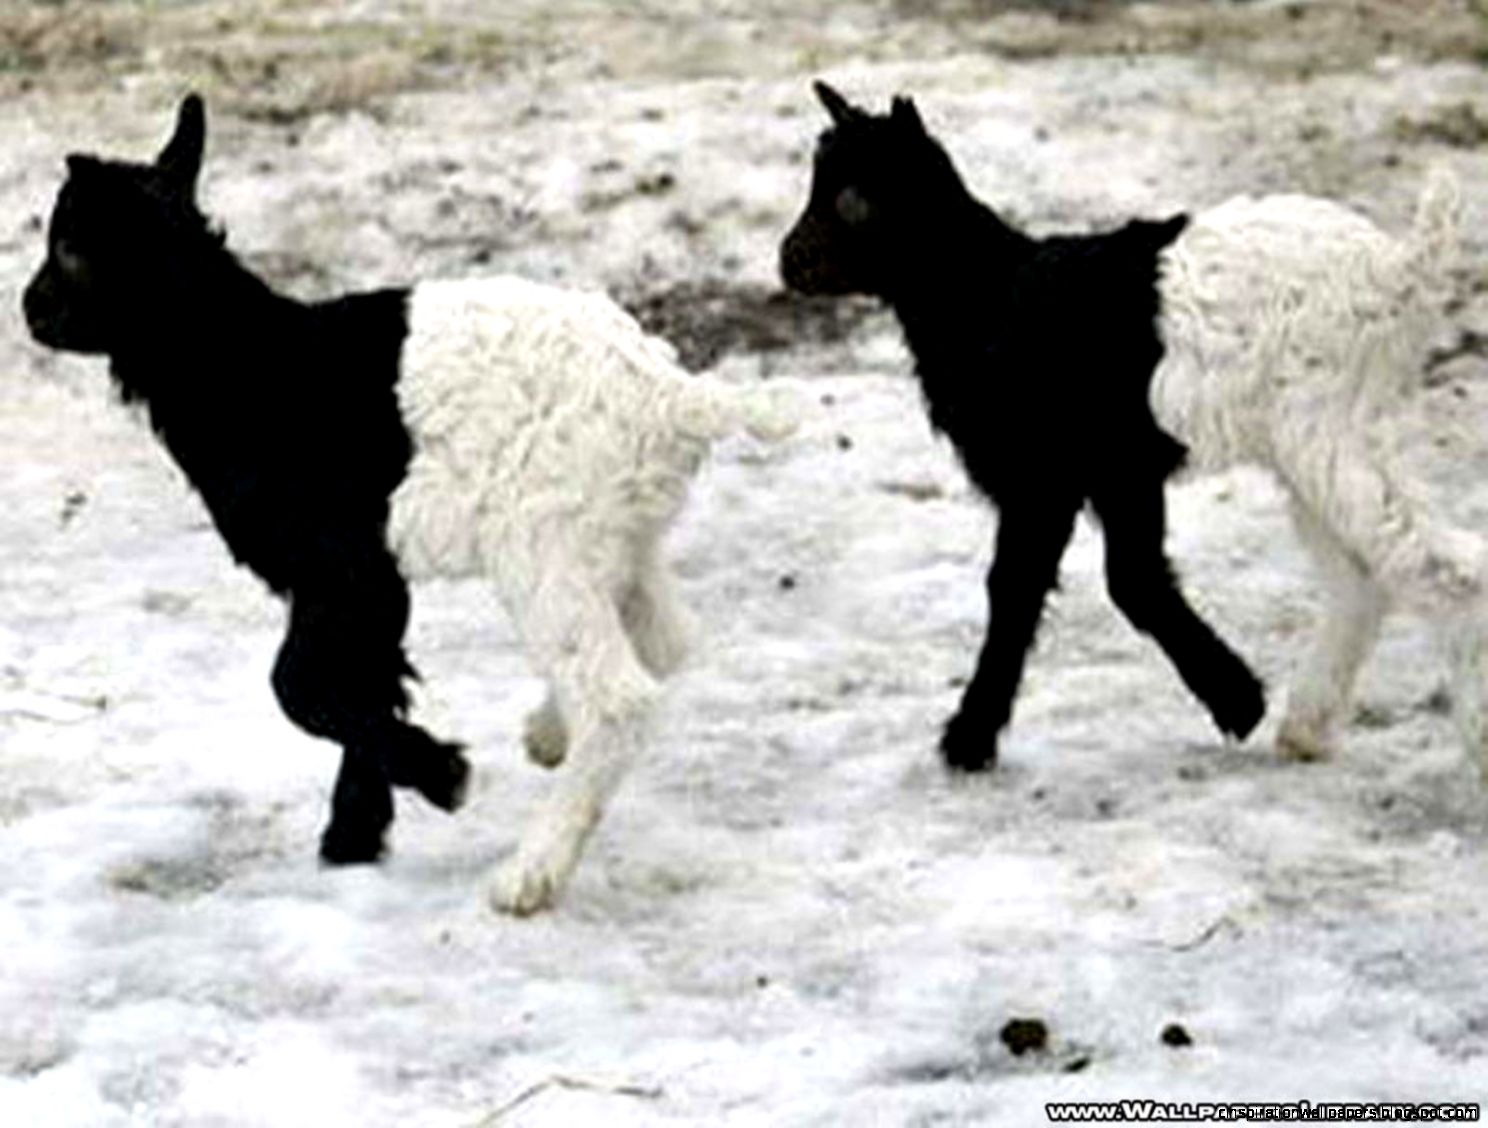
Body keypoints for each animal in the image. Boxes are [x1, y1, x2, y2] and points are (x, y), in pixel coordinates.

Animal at [22, 95, 796, 914]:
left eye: (69, 247)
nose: (29, 309)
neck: (238, 361)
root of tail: (674, 394)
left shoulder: (345, 571)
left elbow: (298, 688)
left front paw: (437, 776)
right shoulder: (364, 590)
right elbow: (362, 685)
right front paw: (355, 835)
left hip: (541, 548)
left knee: (620, 697)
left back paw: (531, 872)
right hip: (613, 540)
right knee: (663, 641)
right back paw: (548, 732)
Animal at [781, 82, 1486, 779]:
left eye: (854, 198)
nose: (787, 262)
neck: (984, 296)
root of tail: (1402, 269)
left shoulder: (1047, 475)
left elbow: (1019, 589)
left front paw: (968, 740)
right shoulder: (1117, 471)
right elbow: (1135, 579)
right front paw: (1240, 700)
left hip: (1331, 427)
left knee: (1440, 564)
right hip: (1318, 444)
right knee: (1366, 575)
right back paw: (1306, 727)